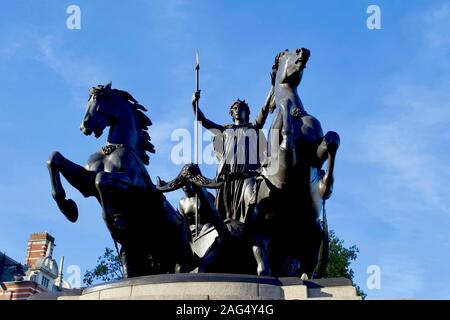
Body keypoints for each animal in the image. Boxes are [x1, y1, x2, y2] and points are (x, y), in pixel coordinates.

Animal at [47, 82, 193, 278]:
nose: (84, 126)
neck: (113, 149)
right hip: (137, 256)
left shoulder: (131, 184)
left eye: (97, 98)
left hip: (178, 255)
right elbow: (55, 158)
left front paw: (114, 223)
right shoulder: (85, 182)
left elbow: (101, 179)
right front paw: (69, 208)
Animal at [251, 49, 340, 278]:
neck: (298, 116)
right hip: (262, 225)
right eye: (285, 53)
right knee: (261, 256)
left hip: (313, 232)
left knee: (307, 264)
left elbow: (332, 139)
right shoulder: (282, 169)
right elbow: (286, 135)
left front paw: (326, 185)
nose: (304, 51)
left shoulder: (315, 153)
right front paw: (284, 109)